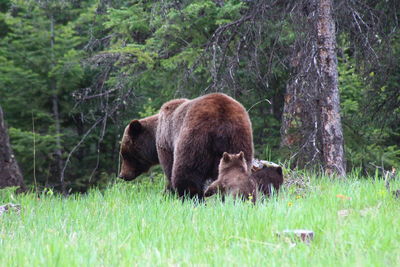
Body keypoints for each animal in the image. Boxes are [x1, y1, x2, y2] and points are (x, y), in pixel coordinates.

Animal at [117, 93, 253, 198]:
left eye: (125, 154)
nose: (122, 175)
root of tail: (221, 121)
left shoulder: (166, 144)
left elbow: (169, 169)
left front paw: (166, 193)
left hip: (194, 139)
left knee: (186, 173)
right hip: (238, 138)